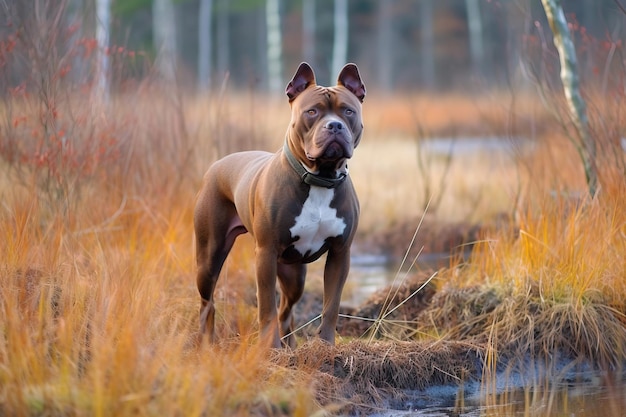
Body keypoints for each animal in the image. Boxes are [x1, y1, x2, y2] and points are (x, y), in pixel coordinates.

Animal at [193, 62, 364, 348]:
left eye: (348, 111)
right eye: (312, 111)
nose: (335, 126)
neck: (320, 178)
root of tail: (216, 165)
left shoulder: (341, 254)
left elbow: (331, 305)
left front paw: (325, 346)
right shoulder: (266, 253)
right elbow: (266, 307)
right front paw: (269, 349)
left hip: (294, 274)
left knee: (287, 308)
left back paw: (290, 345)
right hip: (208, 258)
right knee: (208, 303)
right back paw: (208, 343)